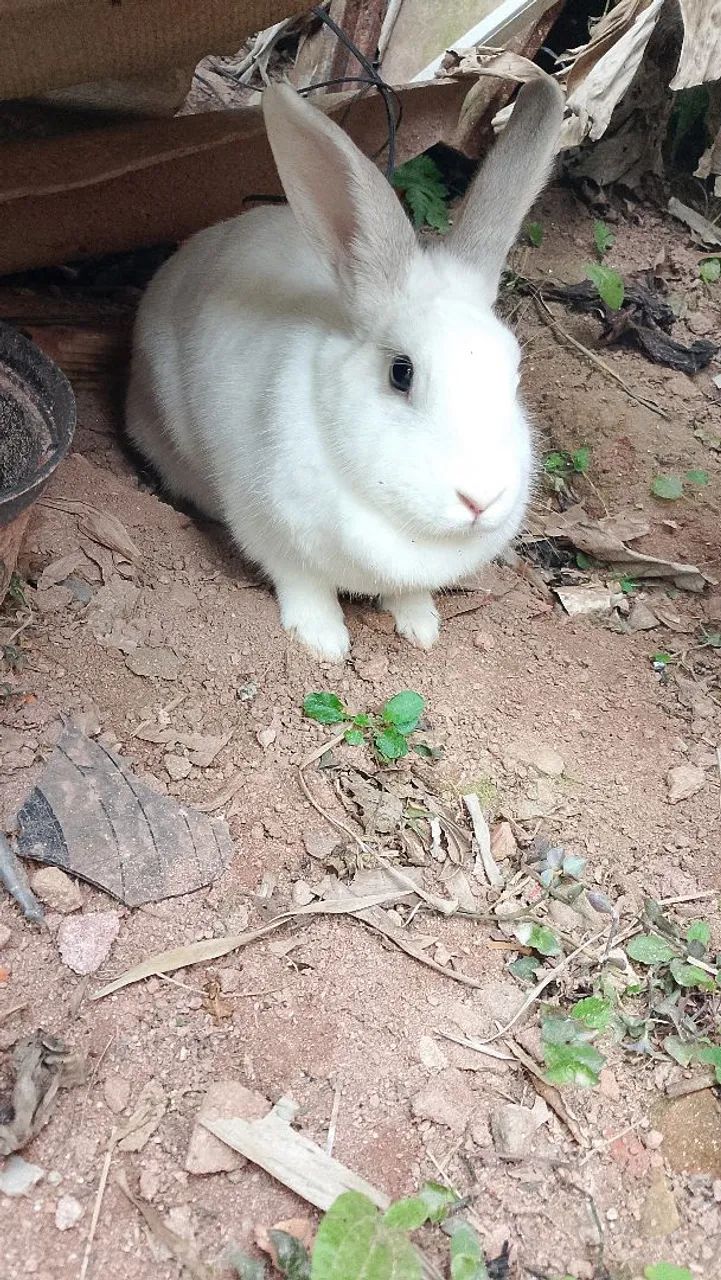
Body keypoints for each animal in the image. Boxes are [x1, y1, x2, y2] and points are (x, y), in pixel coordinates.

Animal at [126, 75, 564, 661]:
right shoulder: (272, 532)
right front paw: (325, 641)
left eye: (513, 376)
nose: (481, 499)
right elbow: (302, 584)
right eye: (401, 372)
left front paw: (421, 627)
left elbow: (410, 593)